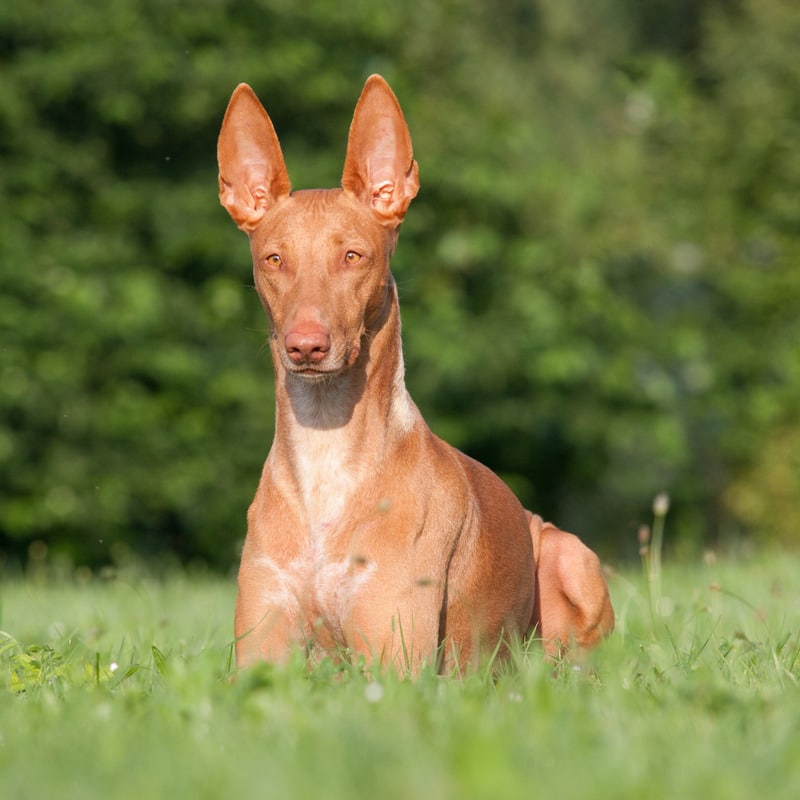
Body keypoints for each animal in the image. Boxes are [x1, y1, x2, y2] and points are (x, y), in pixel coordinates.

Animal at [216, 76, 616, 676]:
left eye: (353, 256)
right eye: (274, 260)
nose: (306, 346)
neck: (326, 454)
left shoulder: (394, 663)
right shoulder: (260, 654)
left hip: (569, 557)